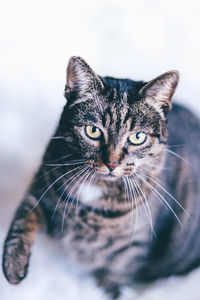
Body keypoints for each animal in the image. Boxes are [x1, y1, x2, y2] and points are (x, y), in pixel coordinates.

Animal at [2, 55, 200, 298]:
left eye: (137, 137)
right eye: (93, 131)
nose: (112, 163)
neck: (96, 188)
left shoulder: (130, 248)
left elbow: (114, 276)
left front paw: (105, 293)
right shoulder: (42, 189)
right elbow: (23, 217)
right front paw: (13, 265)